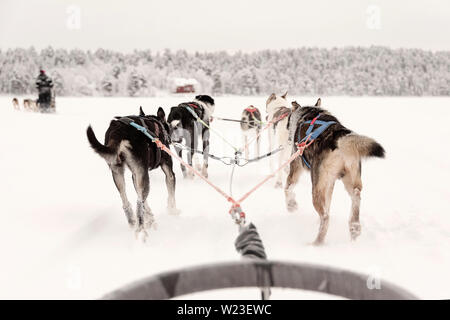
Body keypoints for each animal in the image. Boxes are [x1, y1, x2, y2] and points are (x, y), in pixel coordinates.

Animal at [86, 107, 178, 235]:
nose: (170, 139)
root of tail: (118, 132)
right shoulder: (169, 172)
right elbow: (171, 195)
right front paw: (173, 211)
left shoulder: (135, 175)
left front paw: (151, 217)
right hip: (142, 174)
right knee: (139, 204)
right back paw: (141, 229)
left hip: (118, 172)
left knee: (128, 200)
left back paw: (134, 220)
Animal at [284, 99, 384, 244]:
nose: (287, 129)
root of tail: (338, 136)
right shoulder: (330, 184)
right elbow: (328, 203)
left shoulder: (295, 167)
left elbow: (288, 188)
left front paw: (291, 205)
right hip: (350, 179)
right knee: (356, 195)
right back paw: (354, 226)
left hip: (316, 187)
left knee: (326, 217)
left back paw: (317, 243)